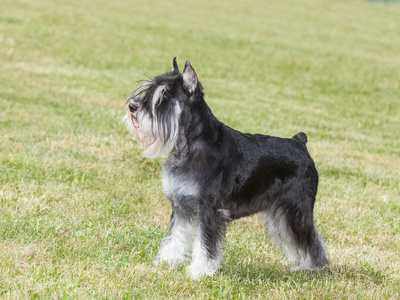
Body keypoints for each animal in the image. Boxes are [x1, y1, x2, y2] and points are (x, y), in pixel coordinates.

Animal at [124, 58, 328, 278]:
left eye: (165, 95)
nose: (132, 106)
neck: (188, 146)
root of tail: (299, 143)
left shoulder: (209, 209)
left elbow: (205, 243)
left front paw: (199, 270)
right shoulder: (180, 205)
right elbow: (175, 236)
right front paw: (167, 261)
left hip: (296, 209)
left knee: (310, 238)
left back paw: (310, 267)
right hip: (279, 213)